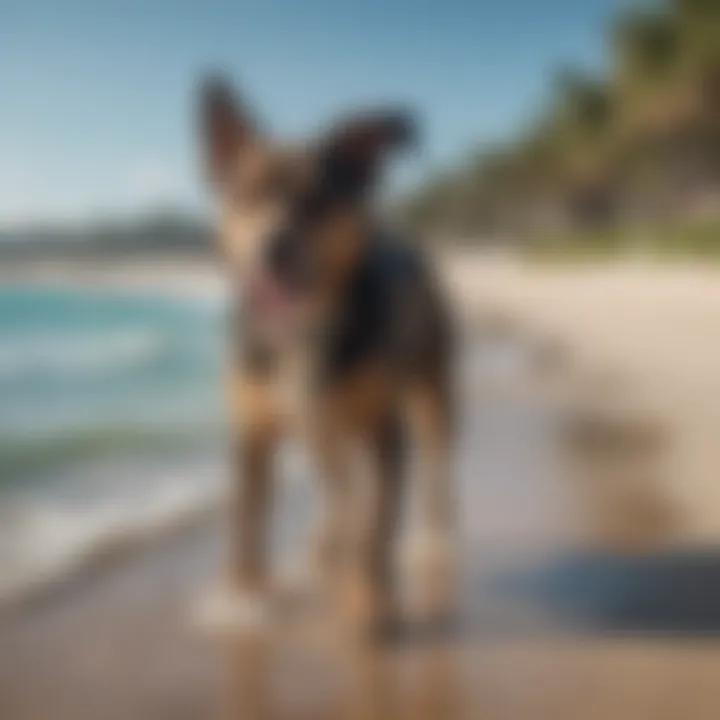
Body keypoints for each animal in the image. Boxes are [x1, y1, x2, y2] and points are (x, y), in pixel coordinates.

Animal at [197, 74, 456, 636]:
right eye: (247, 194)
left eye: (316, 199)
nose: (273, 247)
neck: (302, 330)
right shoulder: (251, 431)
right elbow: (246, 517)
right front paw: (241, 598)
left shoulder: (384, 430)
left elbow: (376, 526)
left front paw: (370, 602)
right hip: (323, 430)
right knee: (337, 487)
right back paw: (324, 546)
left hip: (433, 396)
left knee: (431, 468)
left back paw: (432, 539)